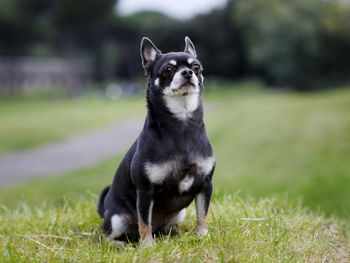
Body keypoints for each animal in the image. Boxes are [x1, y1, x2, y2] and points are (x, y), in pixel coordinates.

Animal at [97, 36, 215, 246]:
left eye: (196, 67)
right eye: (168, 70)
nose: (188, 72)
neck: (182, 122)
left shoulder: (205, 185)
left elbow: (202, 214)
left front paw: (202, 236)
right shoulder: (145, 191)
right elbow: (145, 222)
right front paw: (147, 246)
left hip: (179, 213)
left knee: (165, 225)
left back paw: (174, 231)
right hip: (117, 219)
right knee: (107, 237)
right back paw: (122, 244)